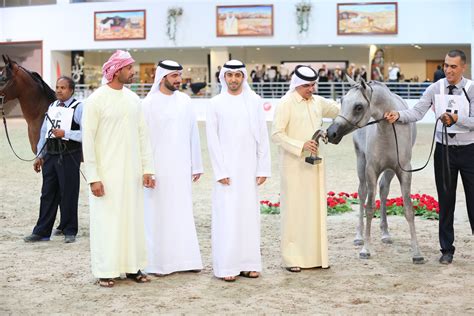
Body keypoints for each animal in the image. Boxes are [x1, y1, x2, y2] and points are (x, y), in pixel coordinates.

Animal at [326, 78, 426, 262]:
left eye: (358, 106)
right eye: (342, 101)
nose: (331, 133)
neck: (388, 130)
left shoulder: (404, 171)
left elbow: (408, 209)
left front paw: (417, 253)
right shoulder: (371, 170)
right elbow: (369, 208)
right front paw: (366, 249)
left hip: (389, 171)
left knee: (384, 190)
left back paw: (385, 234)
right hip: (361, 162)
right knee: (362, 193)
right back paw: (359, 237)